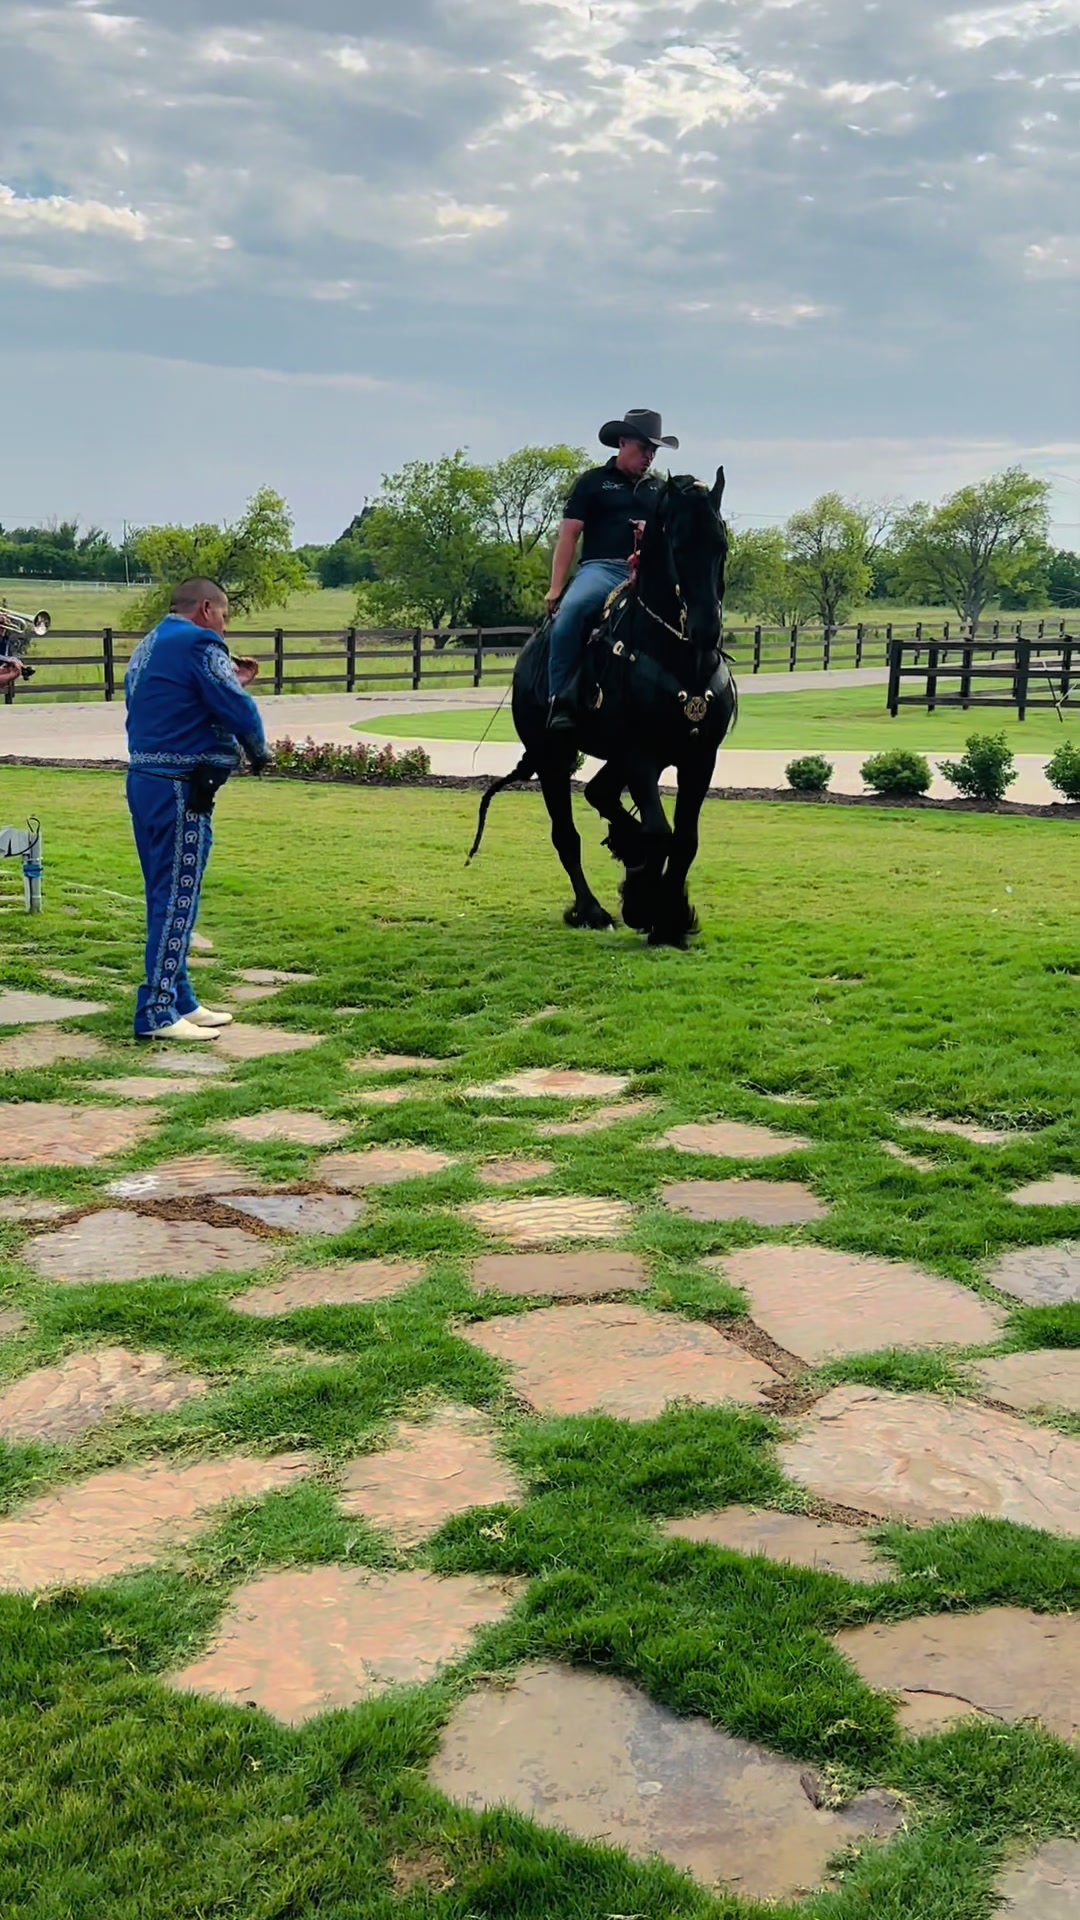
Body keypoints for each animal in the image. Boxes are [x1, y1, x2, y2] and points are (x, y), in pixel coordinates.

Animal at [467, 467, 736, 948]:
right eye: (679, 544)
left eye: (720, 544)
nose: (707, 629)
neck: (678, 656)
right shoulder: (640, 755)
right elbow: (659, 832)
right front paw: (646, 906)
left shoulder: (698, 757)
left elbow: (684, 840)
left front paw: (671, 917)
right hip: (553, 757)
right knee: (567, 835)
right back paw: (592, 909)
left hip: (618, 759)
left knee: (599, 793)